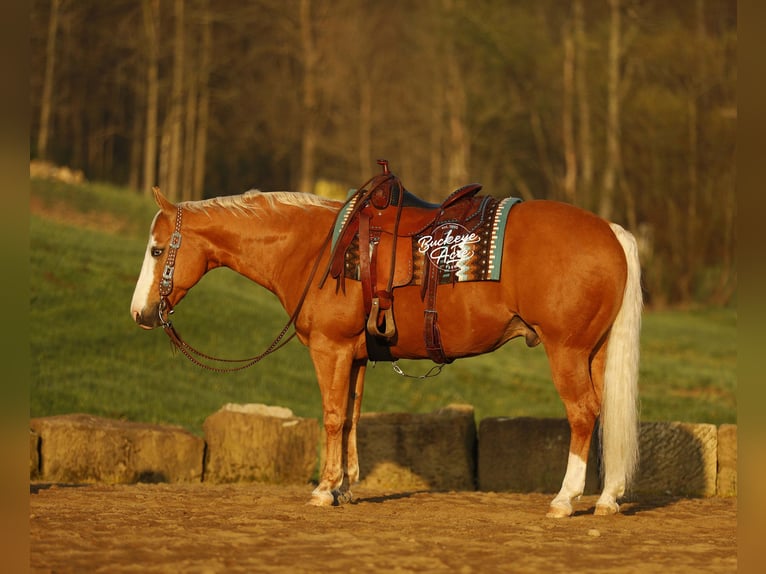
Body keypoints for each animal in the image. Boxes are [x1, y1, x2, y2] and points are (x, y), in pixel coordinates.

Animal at [130, 183, 641, 518]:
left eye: (156, 250)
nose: (140, 313)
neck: (316, 248)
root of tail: (611, 232)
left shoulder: (330, 350)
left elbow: (332, 415)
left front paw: (324, 489)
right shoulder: (355, 356)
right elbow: (351, 417)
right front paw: (345, 488)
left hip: (566, 350)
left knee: (581, 413)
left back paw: (565, 499)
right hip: (593, 352)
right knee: (603, 412)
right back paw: (608, 497)